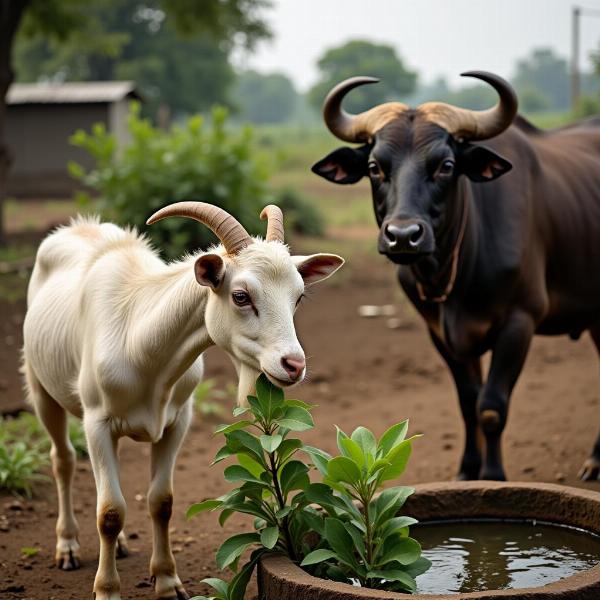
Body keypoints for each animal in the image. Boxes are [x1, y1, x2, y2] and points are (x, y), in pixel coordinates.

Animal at [22, 203, 342, 600]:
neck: (139, 341)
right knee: (63, 460)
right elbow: (109, 513)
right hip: (40, 387)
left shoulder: (177, 421)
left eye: (298, 297)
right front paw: (107, 589)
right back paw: (67, 546)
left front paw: (168, 581)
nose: (293, 365)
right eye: (241, 296)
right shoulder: (97, 423)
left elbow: (162, 503)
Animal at [312, 71, 600, 482]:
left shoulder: (519, 322)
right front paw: (467, 470)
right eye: (374, 167)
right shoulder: (442, 334)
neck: (455, 271)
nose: (403, 236)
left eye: (446, 165)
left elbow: (491, 406)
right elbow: (467, 402)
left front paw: (493, 476)